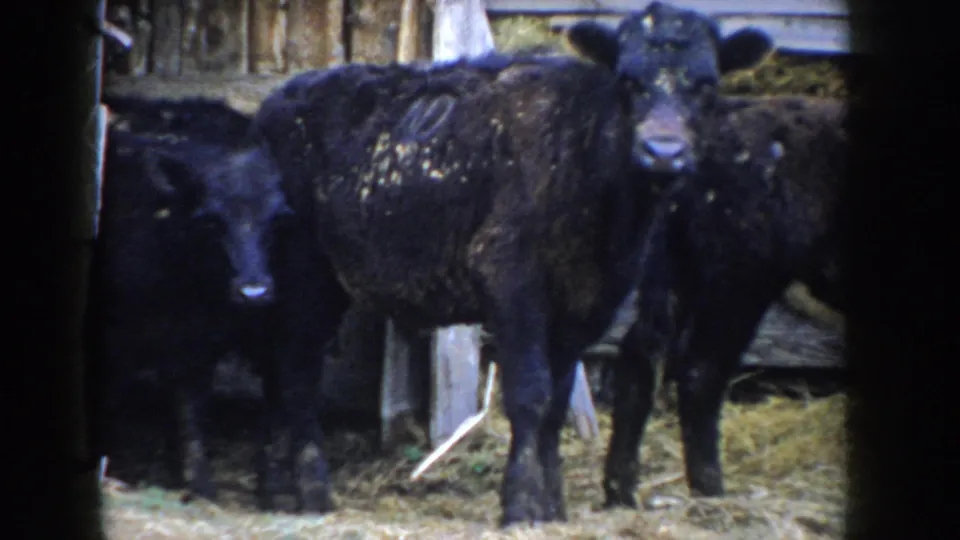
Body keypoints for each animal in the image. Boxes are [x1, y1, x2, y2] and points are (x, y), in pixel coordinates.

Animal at [85, 96, 294, 506]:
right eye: (211, 220)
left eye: (278, 220)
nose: (254, 291)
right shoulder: (119, 337)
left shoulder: (199, 344)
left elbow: (191, 409)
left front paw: (199, 484)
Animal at [235, 7, 773, 524]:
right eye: (628, 80)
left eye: (707, 85)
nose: (663, 152)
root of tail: (277, 101)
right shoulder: (512, 279)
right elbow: (530, 393)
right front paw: (520, 505)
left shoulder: (588, 302)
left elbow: (557, 399)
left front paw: (553, 507)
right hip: (307, 270)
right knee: (298, 371)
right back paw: (311, 490)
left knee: (277, 365)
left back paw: (274, 488)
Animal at [565, 4, 848, 507]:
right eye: (626, 80)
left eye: (707, 81)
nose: (663, 152)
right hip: (738, 274)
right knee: (701, 369)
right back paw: (711, 489)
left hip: (677, 266)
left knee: (642, 353)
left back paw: (621, 489)